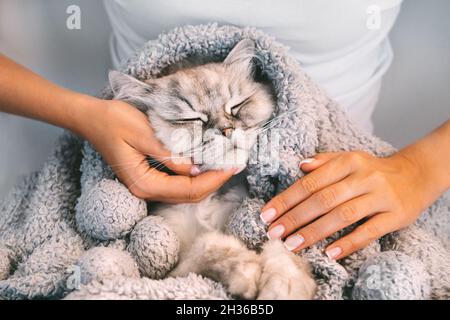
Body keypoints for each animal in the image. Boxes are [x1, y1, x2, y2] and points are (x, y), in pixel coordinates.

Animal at [108, 40, 316, 300]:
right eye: (191, 118)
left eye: (237, 105)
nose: (227, 130)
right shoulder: (171, 274)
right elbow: (210, 245)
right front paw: (246, 271)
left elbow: (283, 247)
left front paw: (285, 285)